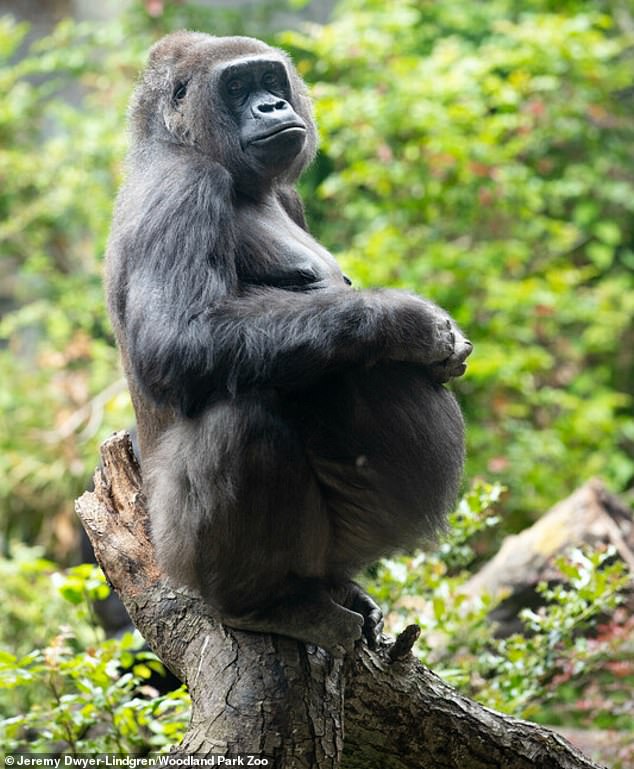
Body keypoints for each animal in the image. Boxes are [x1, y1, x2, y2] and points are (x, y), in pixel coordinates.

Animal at [103, 31, 470, 656]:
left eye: (270, 81)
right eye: (236, 87)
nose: (272, 106)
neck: (171, 140)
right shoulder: (184, 187)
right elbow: (179, 341)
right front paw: (409, 323)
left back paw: (336, 590)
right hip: (177, 559)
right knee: (241, 419)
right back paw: (262, 604)